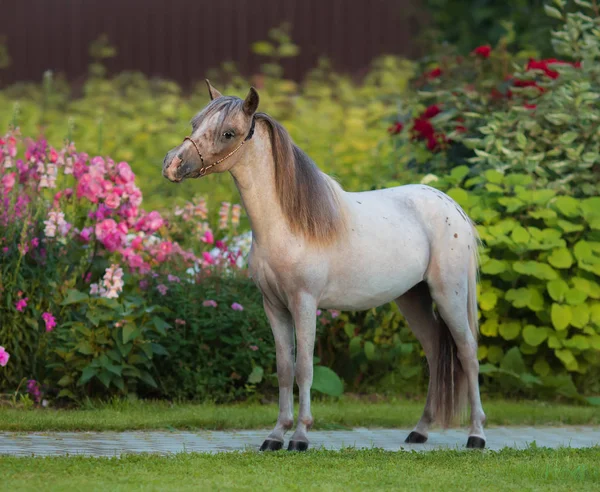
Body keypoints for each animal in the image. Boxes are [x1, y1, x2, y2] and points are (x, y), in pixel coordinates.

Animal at [164, 82, 488, 452]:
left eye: (228, 132)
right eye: (195, 123)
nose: (172, 165)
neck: (287, 226)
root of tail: (451, 205)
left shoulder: (305, 303)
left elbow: (304, 368)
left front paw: (300, 436)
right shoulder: (273, 306)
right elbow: (284, 368)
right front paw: (275, 435)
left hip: (449, 295)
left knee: (468, 353)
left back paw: (476, 435)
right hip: (413, 298)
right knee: (435, 352)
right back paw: (419, 431)